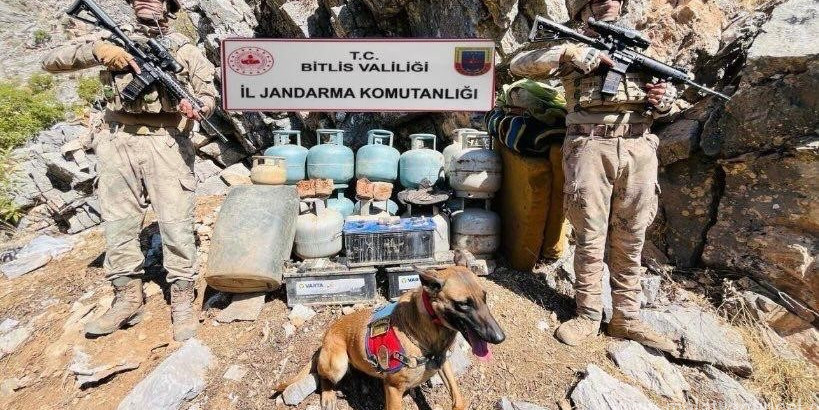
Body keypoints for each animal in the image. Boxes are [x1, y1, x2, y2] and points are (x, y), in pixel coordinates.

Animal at [278, 256, 502, 410]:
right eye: (463, 304)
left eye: (484, 297)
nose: (500, 337)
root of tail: (325, 337)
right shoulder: (393, 390)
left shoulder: (443, 363)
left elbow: (458, 398)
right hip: (337, 364)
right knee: (323, 376)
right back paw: (329, 395)